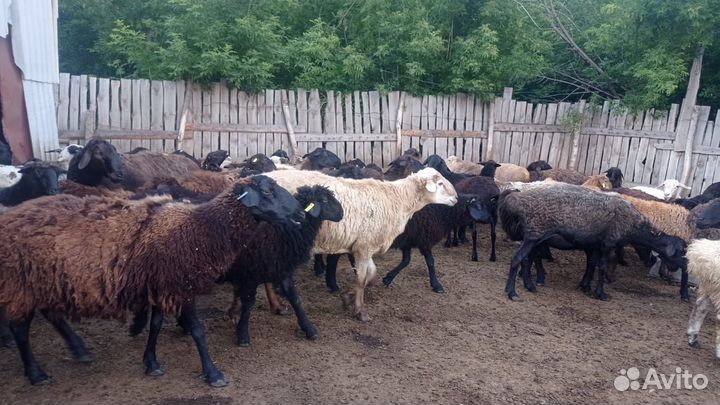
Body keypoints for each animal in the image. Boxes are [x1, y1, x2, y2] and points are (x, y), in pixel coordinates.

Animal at [0, 175, 304, 386]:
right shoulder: (181, 284)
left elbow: (156, 325)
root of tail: (10, 216)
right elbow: (197, 330)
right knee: (20, 330)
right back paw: (37, 374)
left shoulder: (160, 283)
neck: (202, 229)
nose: (301, 212)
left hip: (44, 279)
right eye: (267, 191)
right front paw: (213, 374)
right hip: (21, 282)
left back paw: (79, 349)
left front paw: (151, 363)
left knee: (50, 314)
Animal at [224, 185, 344, 346]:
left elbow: (295, 298)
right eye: (324, 200)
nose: (342, 213)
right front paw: (242, 334)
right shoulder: (251, 272)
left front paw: (309, 328)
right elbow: (248, 303)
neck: (282, 232)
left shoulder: (282, 269)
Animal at [265, 167, 458, 321]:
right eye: (440, 183)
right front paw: (360, 311)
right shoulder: (364, 246)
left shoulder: (362, 247)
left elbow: (371, 276)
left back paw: (277, 306)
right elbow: (361, 279)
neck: (397, 200)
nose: (456, 198)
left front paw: (347, 298)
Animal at [499, 184, 688, 301]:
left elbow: (591, 264)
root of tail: (517, 198)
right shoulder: (607, 244)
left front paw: (585, 286)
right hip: (533, 235)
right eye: (680, 251)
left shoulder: (593, 245)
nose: (684, 266)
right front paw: (600, 293)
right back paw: (512, 292)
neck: (634, 226)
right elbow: (602, 267)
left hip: (535, 237)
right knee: (518, 258)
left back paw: (528, 285)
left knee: (526, 259)